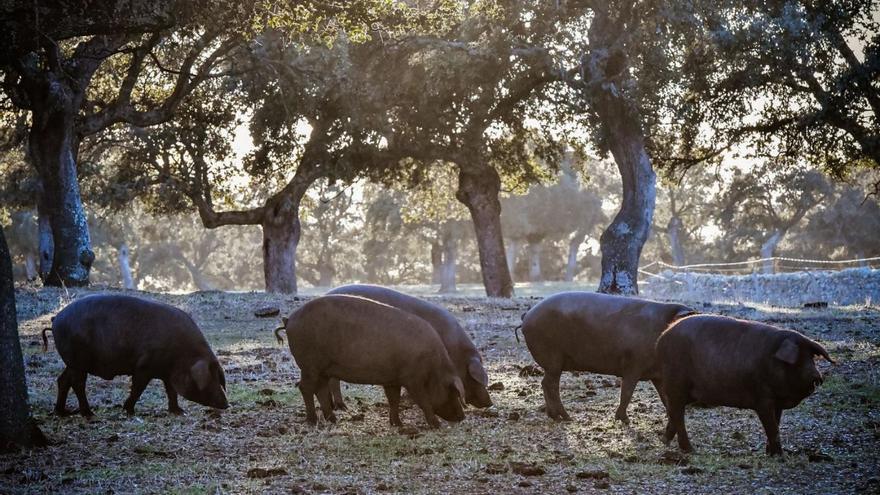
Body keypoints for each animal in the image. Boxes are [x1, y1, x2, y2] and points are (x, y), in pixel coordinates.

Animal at [46, 294, 229, 418]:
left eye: (219, 377)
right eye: (211, 377)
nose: (227, 404)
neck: (183, 355)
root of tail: (56, 319)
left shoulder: (167, 373)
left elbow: (171, 391)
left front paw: (179, 412)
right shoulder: (143, 367)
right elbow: (138, 388)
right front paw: (128, 410)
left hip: (71, 362)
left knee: (63, 380)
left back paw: (61, 412)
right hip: (78, 360)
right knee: (77, 383)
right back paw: (88, 413)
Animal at [286, 294, 468, 430]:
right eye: (453, 392)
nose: (462, 416)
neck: (434, 368)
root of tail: (290, 319)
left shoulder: (393, 380)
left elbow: (394, 400)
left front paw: (397, 424)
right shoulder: (413, 380)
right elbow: (423, 401)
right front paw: (436, 425)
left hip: (322, 369)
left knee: (321, 389)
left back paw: (333, 420)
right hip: (309, 364)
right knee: (305, 388)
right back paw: (313, 421)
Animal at [520, 292, 696, 424]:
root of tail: (527, 315)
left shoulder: (656, 374)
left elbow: (664, 396)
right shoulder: (633, 365)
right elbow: (627, 391)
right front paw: (625, 420)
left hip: (553, 364)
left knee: (546, 384)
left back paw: (555, 416)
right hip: (553, 360)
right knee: (550, 385)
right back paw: (566, 418)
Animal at [656, 316, 836, 456]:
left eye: (811, 357)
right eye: (799, 359)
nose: (817, 377)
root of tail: (662, 338)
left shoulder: (776, 403)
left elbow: (776, 424)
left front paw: (770, 453)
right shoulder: (762, 399)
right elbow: (772, 428)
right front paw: (779, 456)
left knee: (673, 413)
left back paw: (665, 441)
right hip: (676, 384)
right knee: (677, 414)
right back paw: (690, 450)